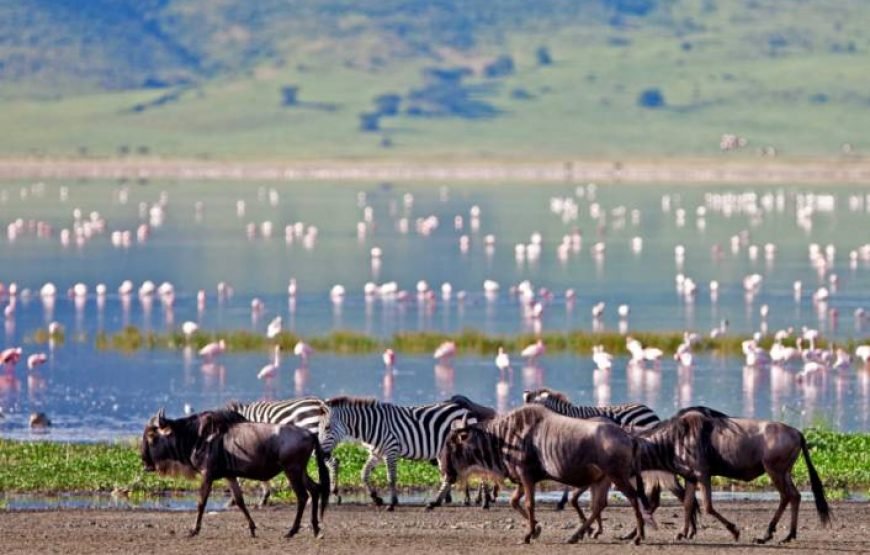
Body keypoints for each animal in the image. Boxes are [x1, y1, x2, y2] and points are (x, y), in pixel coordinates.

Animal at [320, 396, 484, 512]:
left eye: (327, 428)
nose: (321, 454)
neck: (372, 425)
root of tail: (466, 410)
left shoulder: (391, 451)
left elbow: (391, 478)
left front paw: (392, 503)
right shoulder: (376, 453)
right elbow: (364, 474)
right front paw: (376, 498)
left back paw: (481, 501)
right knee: (450, 476)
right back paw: (435, 502)